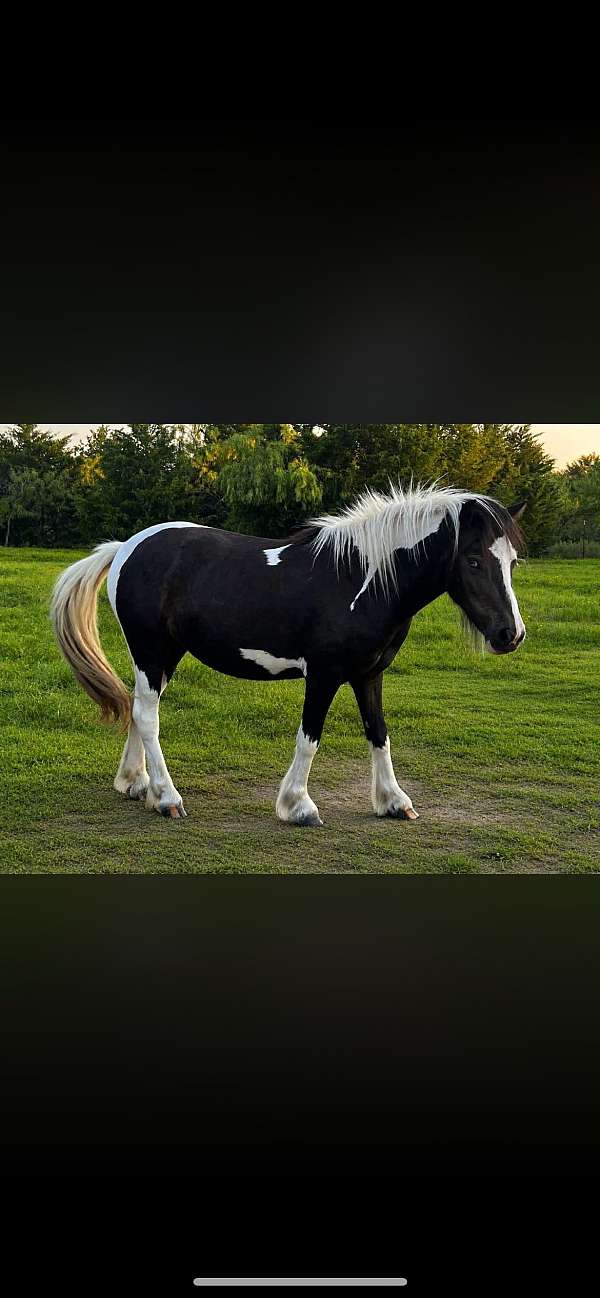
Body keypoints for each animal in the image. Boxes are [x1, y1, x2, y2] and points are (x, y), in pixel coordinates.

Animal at [50, 484, 526, 825]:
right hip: (151, 651)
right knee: (148, 717)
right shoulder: (324, 675)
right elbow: (309, 739)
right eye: (473, 559)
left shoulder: (369, 674)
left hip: (165, 656)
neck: (361, 581)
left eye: (513, 561)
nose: (511, 634)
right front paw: (298, 806)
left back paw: (136, 784)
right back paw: (166, 797)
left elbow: (379, 733)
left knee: (137, 709)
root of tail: (126, 547)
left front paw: (393, 801)